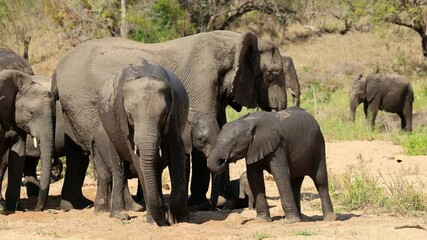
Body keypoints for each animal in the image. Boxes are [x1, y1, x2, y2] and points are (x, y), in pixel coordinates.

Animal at [51, 29, 290, 212]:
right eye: (272, 75)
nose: (218, 205)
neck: (232, 40)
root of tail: (56, 71)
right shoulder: (202, 81)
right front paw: (201, 205)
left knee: (79, 156)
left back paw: (78, 206)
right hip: (85, 105)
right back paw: (130, 208)